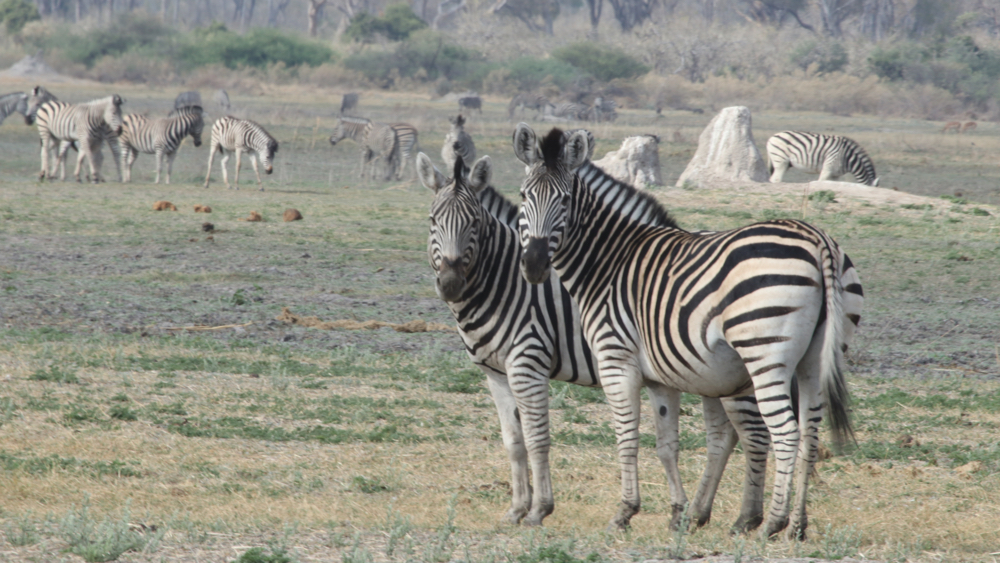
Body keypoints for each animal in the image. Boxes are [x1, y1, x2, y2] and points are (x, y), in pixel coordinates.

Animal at [417, 150, 772, 531]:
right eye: (432, 220)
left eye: (473, 223)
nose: (450, 283)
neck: (505, 281)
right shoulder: (495, 374)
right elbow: (514, 442)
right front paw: (515, 509)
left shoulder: (529, 363)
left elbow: (537, 439)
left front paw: (539, 509)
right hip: (710, 376)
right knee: (723, 437)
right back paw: (698, 513)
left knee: (755, 434)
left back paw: (746, 518)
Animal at [513, 125, 863, 539]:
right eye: (523, 196)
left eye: (565, 200)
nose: (534, 266)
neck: (607, 262)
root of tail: (816, 238)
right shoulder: (660, 378)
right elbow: (667, 444)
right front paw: (677, 514)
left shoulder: (616, 360)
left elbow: (626, 437)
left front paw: (624, 512)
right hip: (817, 358)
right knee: (810, 434)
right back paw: (797, 526)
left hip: (765, 353)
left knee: (786, 433)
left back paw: (772, 524)